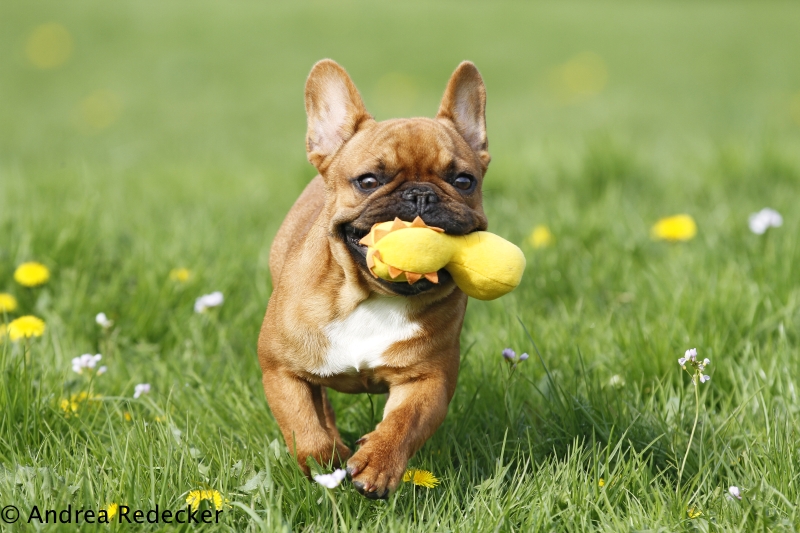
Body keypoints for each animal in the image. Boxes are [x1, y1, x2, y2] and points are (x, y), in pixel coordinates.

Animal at [260, 59, 490, 498]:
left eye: (463, 181)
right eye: (368, 181)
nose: (420, 195)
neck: (370, 297)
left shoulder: (428, 379)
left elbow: (404, 422)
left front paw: (377, 463)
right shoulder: (280, 369)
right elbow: (303, 426)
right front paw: (327, 461)